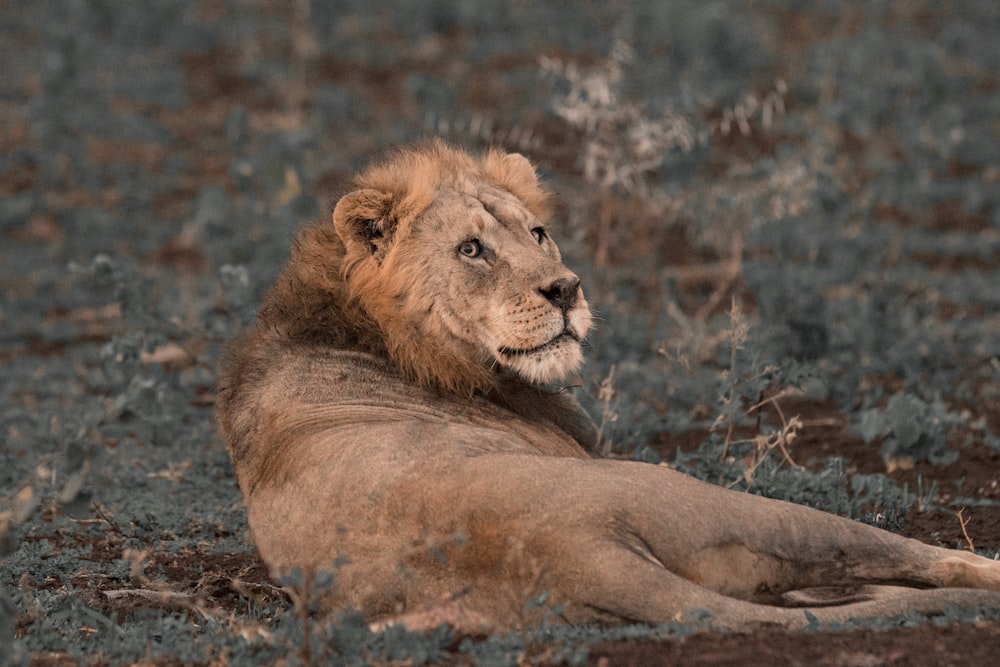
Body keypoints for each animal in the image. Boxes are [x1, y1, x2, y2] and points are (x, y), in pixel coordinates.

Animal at [217, 140, 1000, 632]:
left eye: (537, 233)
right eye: (471, 249)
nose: (566, 287)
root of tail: (576, 555)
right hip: (716, 503)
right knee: (909, 554)